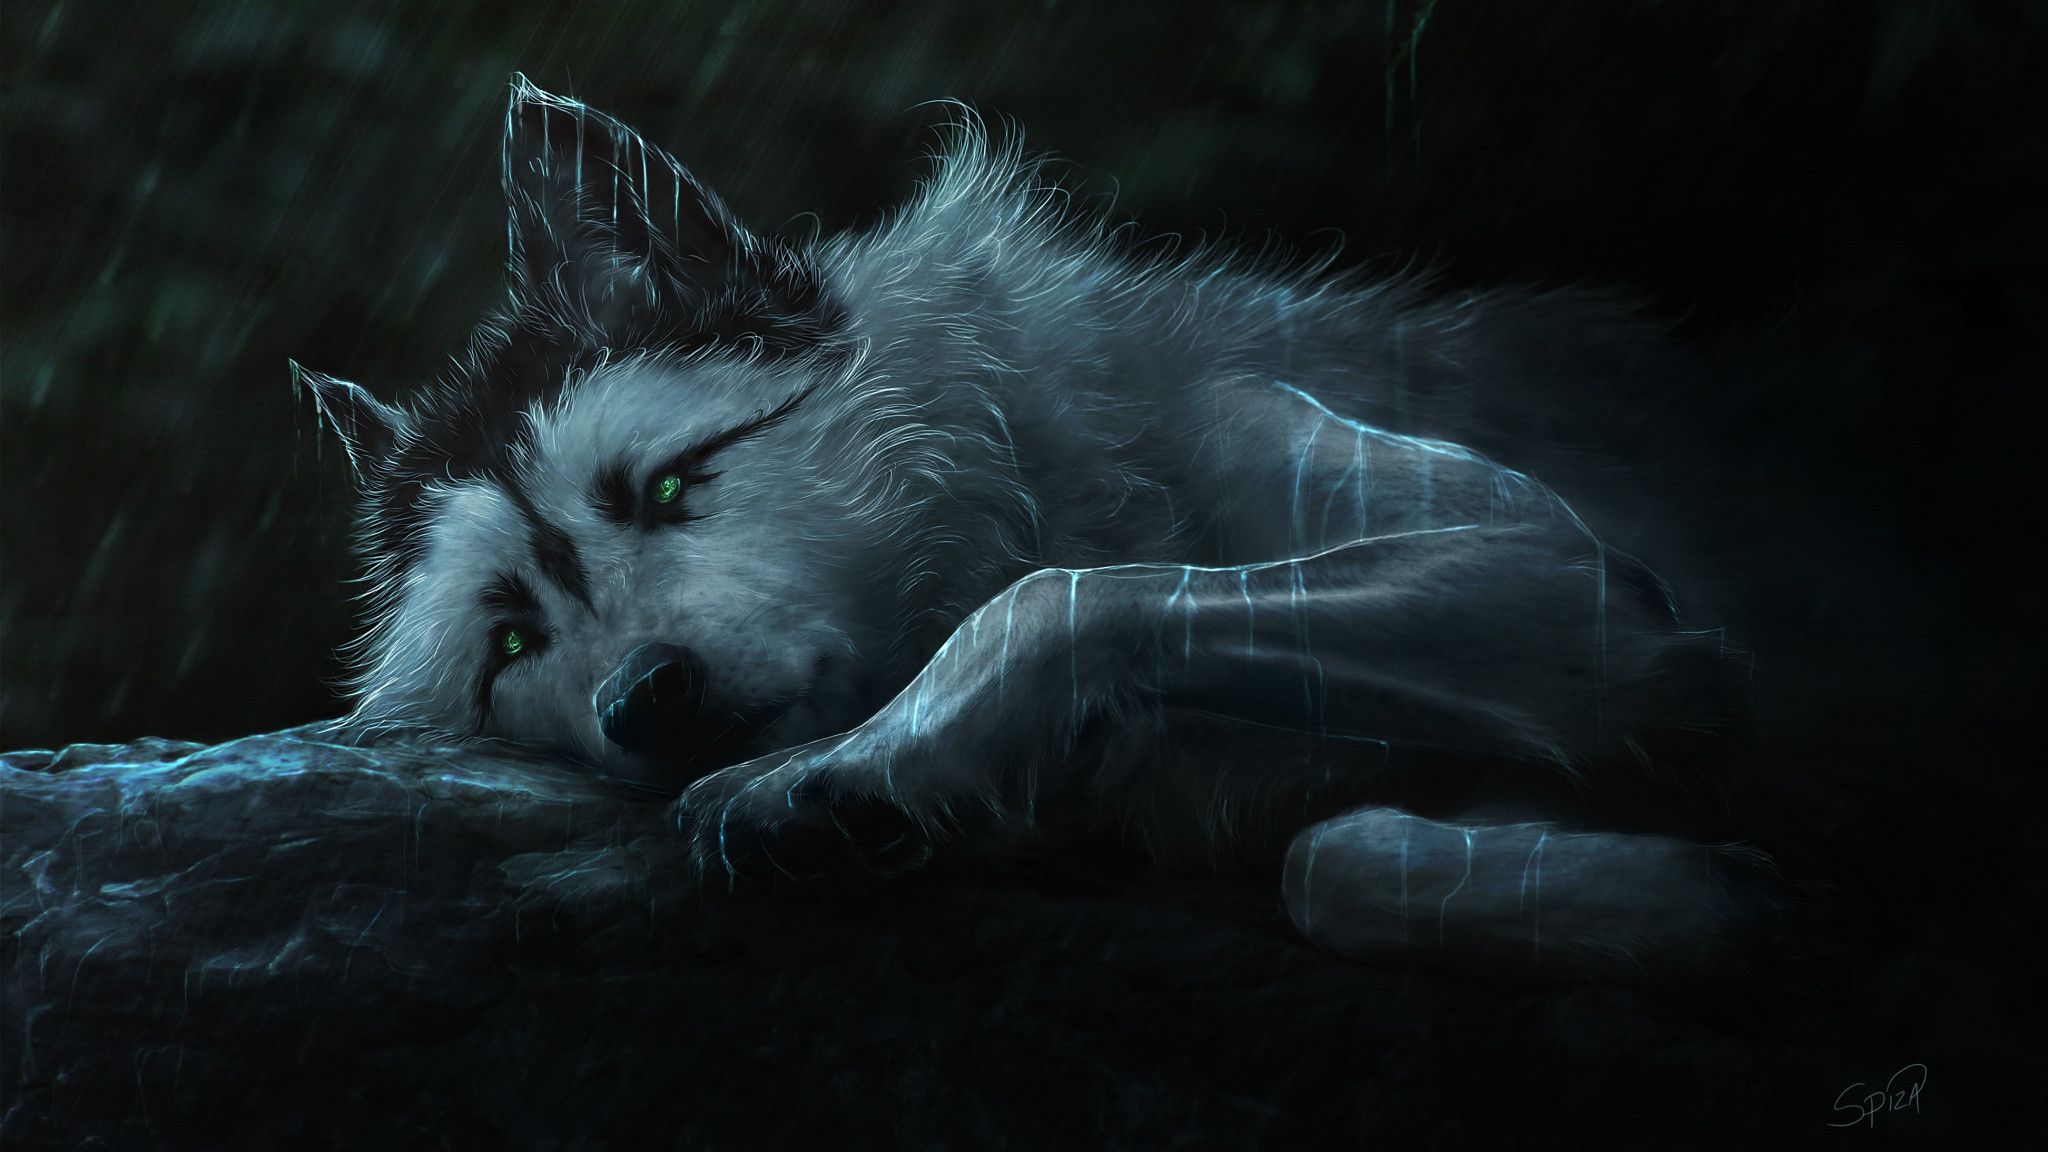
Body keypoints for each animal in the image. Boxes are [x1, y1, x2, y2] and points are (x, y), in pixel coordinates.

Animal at [298, 76, 1774, 984]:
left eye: (665, 488)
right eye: (510, 643)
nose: (643, 698)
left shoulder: (1563, 579)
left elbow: (1065, 600)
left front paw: (839, 772)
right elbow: (1332, 858)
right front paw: (1721, 896)